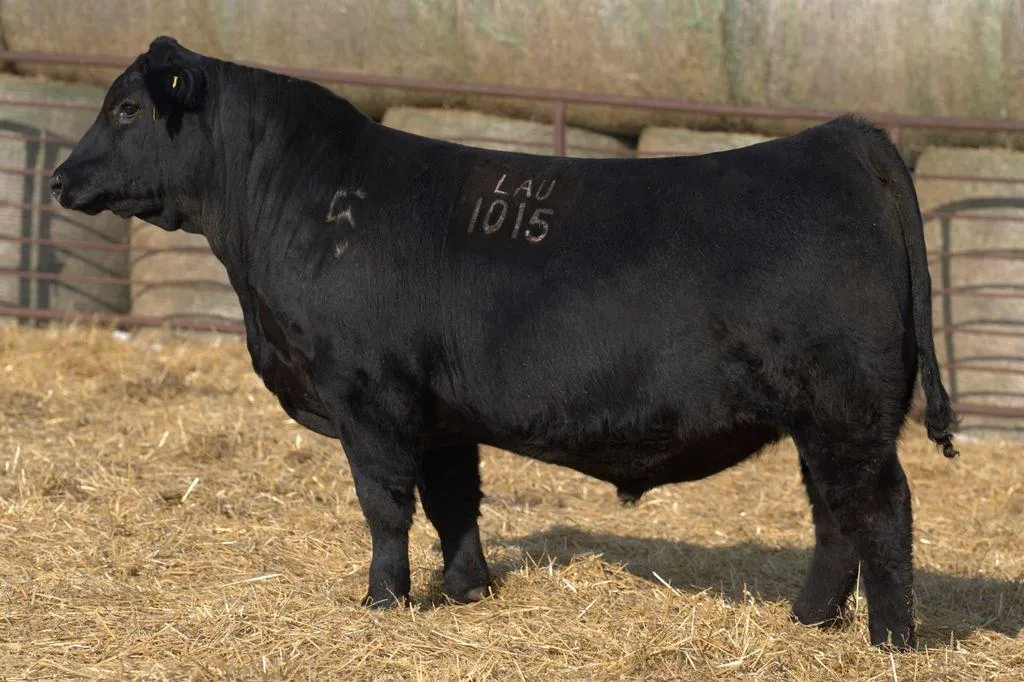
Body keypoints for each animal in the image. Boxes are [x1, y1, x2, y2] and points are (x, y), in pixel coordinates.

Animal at [50, 37, 958, 650]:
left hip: (847, 409)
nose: (60, 178)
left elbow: (385, 506)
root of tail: (843, 137)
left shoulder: (369, 395)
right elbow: (455, 501)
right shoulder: (439, 412)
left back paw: (892, 639)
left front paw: (383, 600)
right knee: (834, 516)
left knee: (880, 509)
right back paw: (810, 621)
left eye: (127, 108)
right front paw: (465, 591)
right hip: (820, 417)